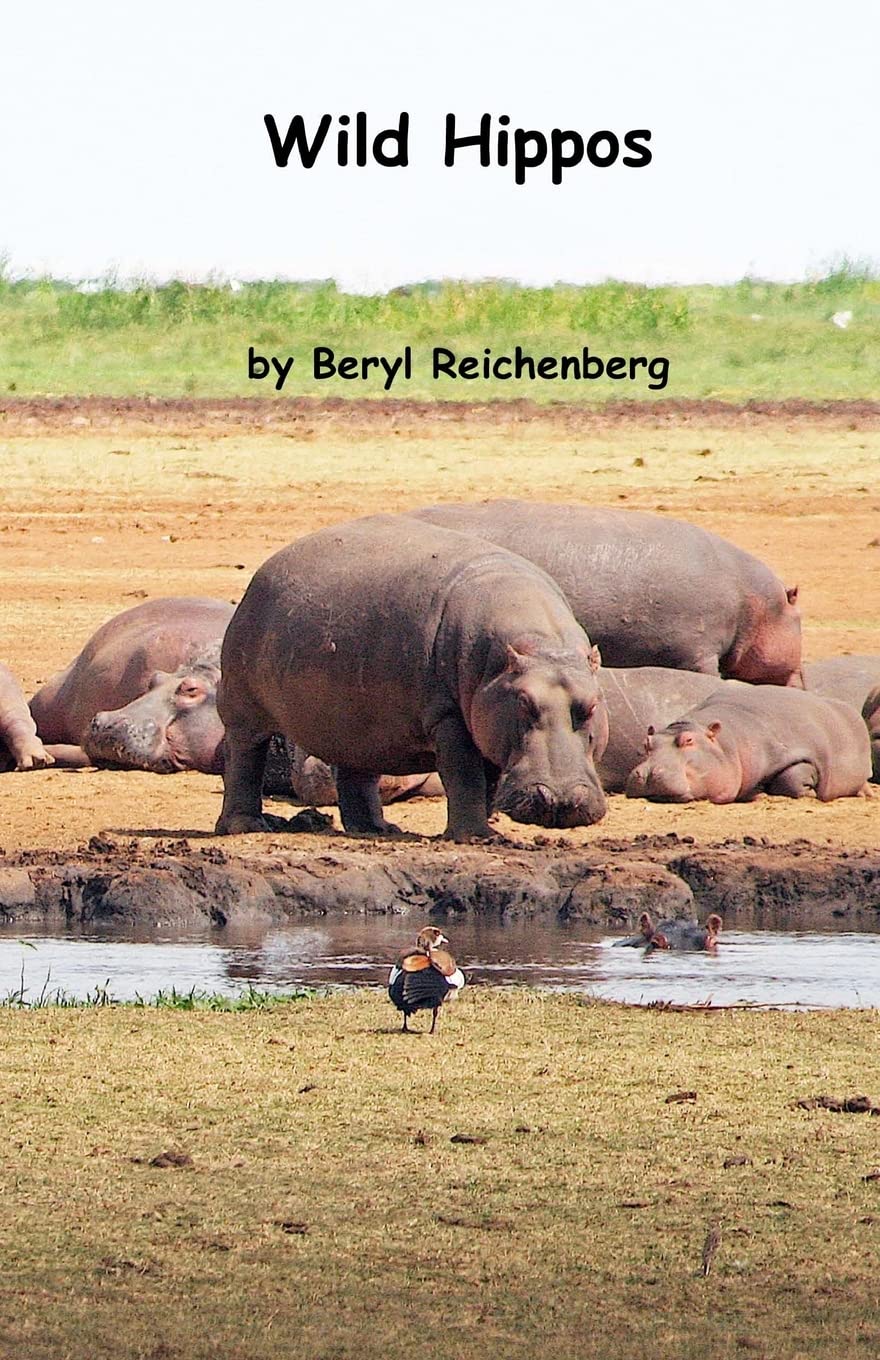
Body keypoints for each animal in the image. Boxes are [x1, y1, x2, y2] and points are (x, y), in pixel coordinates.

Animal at [215, 514, 609, 840]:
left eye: (591, 706)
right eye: (524, 703)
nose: (559, 801)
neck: (541, 647)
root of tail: (265, 569)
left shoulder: (486, 720)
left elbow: (487, 779)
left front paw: (487, 830)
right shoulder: (449, 716)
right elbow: (465, 775)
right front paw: (476, 837)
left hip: (355, 721)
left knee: (357, 773)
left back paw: (377, 830)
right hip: (243, 707)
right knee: (244, 757)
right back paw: (246, 826)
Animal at [625, 684, 871, 803]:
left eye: (688, 740)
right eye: (648, 742)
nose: (648, 773)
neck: (726, 744)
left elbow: (792, 777)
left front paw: (808, 794)